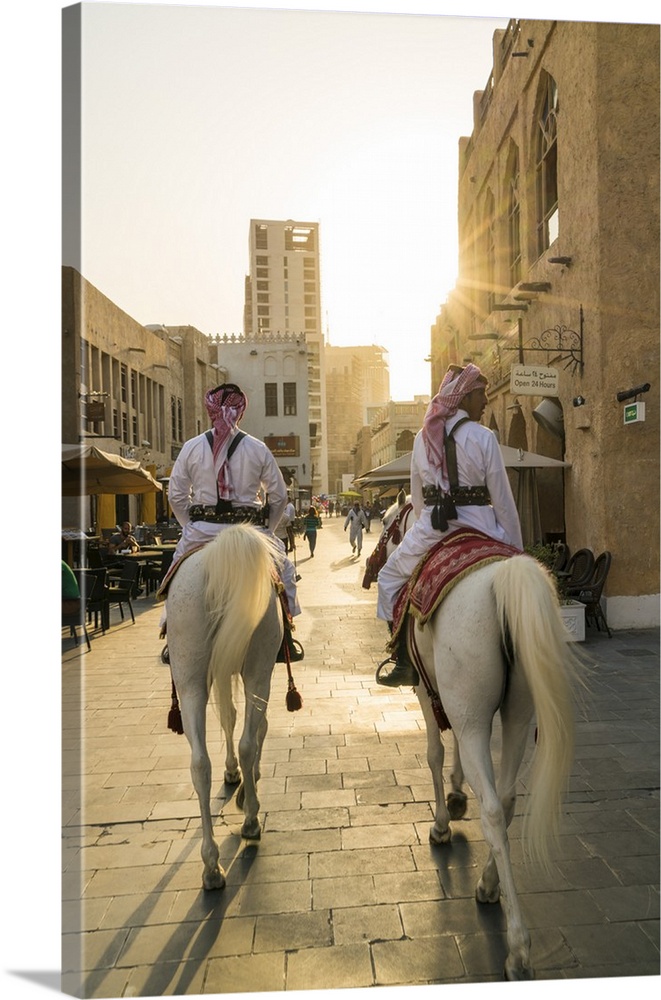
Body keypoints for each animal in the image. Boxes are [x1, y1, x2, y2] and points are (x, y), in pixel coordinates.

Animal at [164, 524, 284, 892]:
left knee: (201, 762)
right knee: (241, 743)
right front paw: (244, 778)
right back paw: (247, 822)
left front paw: (238, 775)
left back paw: (214, 862)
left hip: (191, 677)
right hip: (257, 666)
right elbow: (249, 724)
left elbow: (232, 719)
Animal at [374, 496, 584, 980]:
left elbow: (433, 752)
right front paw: (455, 793)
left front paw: (441, 821)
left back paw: (518, 948)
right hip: (518, 713)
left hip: (475, 714)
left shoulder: (426, 689)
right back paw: (489, 885)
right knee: (505, 800)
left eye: (389, 526)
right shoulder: (454, 698)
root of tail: (506, 578)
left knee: (491, 807)